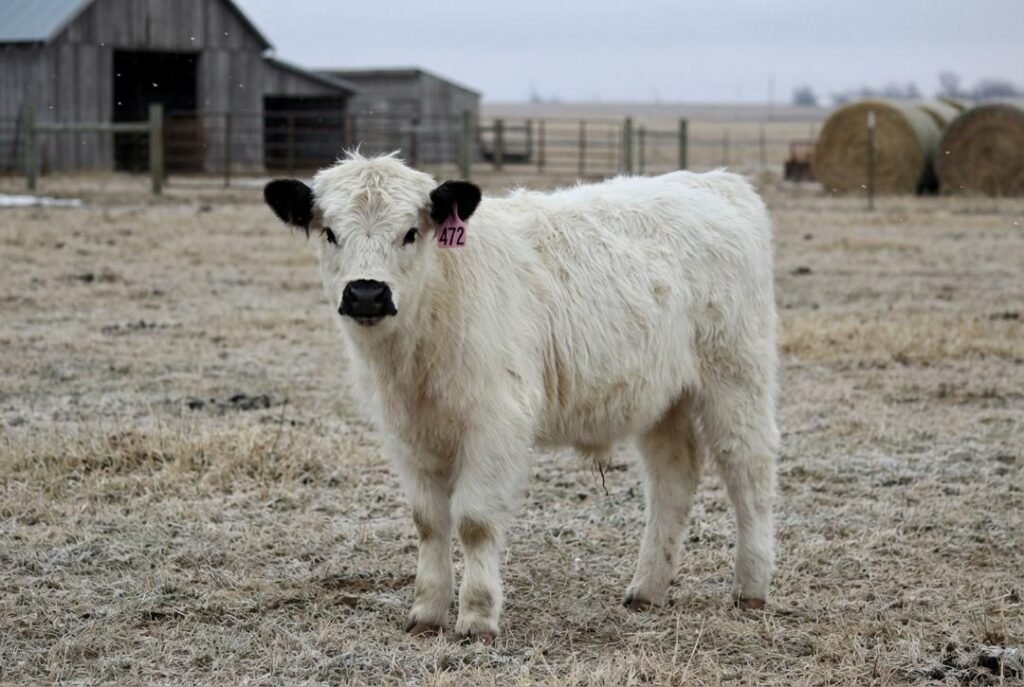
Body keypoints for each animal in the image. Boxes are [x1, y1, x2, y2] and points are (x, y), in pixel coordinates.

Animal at [263, 152, 779, 644]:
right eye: (329, 232)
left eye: (410, 232)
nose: (367, 293)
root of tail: (713, 181)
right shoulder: (407, 433)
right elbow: (428, 521)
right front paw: (426, 613)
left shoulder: (495, 424)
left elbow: (474, 521)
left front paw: (477, 618)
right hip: (663, 400)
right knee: (673, 479)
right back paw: (647, 589)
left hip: (736, 380)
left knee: (748, 473)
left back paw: (750, 588)